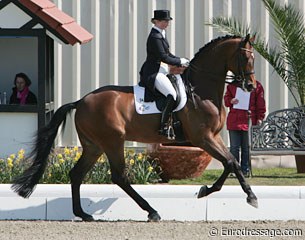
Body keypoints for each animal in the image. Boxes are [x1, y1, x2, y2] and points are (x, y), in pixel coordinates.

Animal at [11, 33, 256, 221]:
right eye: (245, 57)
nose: (251, 86)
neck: (200, 90)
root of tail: (80, 101)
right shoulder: (202, 138)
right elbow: (230, 162)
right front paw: (236, 195)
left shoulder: (213, 137)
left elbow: (232, 162)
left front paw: (232, 193)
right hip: (112, 141)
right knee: (119, 177)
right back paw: (151, 211)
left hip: (94, 146)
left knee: (77, 173)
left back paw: (83, 214)